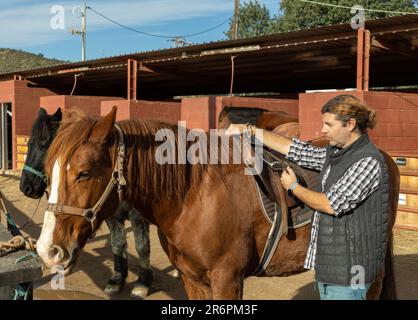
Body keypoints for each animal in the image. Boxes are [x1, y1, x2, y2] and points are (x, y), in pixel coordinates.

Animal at [19, 108, 155, 300]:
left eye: (45, 145)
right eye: (29, 143)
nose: (26, 187)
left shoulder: (138, 218)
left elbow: (142, 247)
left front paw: (142, 284)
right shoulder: (111, 217)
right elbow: (117, 244)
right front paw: (117, 280)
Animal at [36, 107, 398, 300]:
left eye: (84, 173)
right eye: (48, 170)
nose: (47, 250)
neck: (192, 197)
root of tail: (385, 157)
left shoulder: (227, 279)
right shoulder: (192, 278)